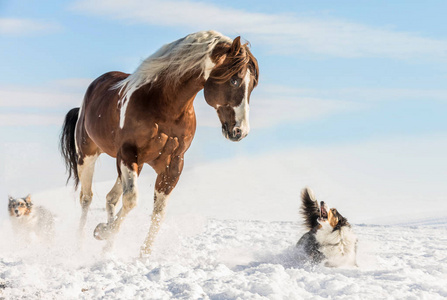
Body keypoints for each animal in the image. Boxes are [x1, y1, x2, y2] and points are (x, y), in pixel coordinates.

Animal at [59, 29, 260, 255]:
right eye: (235, 80)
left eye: (253, 84)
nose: (240, 131)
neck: (165, 104)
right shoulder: (128, 154)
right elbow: (131, 200)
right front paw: (102, 231)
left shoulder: (172, 163)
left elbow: (158, 211)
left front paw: (141, 255)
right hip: (88, 156)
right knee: (87, 198)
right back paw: (80, 246)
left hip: (132, 164)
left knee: (110, 198)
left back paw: (107, 249)